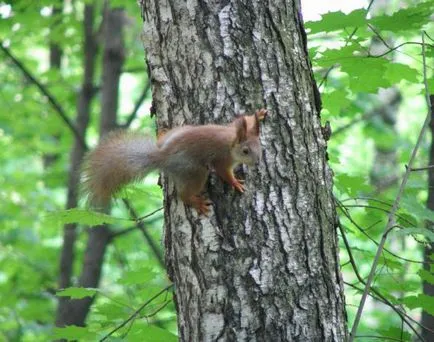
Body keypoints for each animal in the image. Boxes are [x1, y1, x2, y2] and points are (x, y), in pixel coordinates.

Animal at [80, 108, 264, 215]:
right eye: (245, 151)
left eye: (260, 146)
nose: (256, 163)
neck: (231, 141)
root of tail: (163, 156)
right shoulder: (222, 159)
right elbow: (224, 173)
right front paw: (235, 183)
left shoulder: (231, 127)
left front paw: (258, 115)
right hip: (194, 171)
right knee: (184, 194)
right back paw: (196, 202)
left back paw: (162, 133)